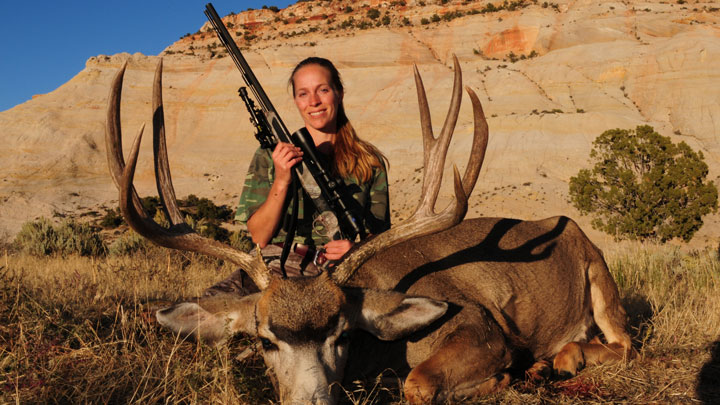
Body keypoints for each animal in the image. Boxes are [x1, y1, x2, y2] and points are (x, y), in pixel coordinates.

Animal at [105, 56, 632, 404]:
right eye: (264, 341)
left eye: (343, 335)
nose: (314, 403)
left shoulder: (481, 327)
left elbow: (419, 382)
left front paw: (502, 379)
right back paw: (547, 362)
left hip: (600, 276)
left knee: (622, 343)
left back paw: (562, 359)